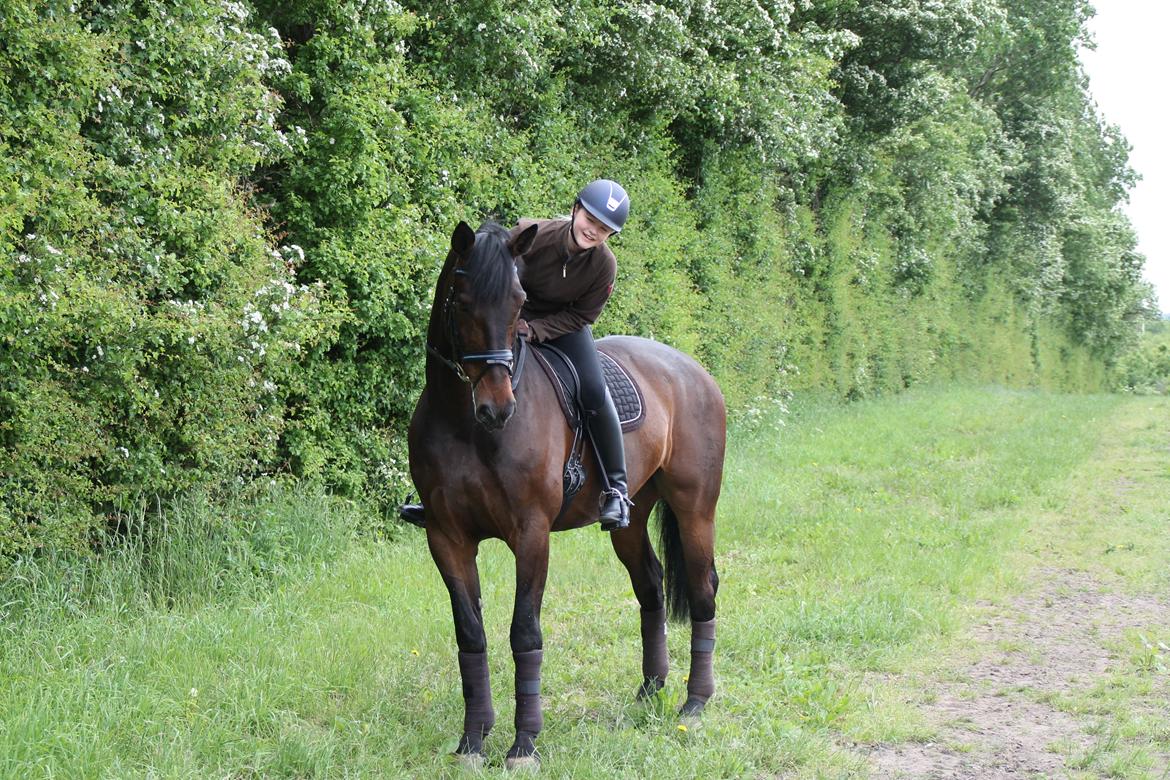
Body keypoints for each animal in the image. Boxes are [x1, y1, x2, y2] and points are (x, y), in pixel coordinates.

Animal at [407, 219, 725, 767]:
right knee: (651, 586)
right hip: (631, 519)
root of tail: (693, 370)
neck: (466, 425)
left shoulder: (531, 534)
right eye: (462, 301)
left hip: (695, 510)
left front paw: (524, 744)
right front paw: (473, 740)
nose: (498, 407)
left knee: (703, 589)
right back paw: (651, 691)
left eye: (519, 302)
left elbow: (524, 631)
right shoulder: (446, 537)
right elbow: (471, 635)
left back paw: (695, 702)